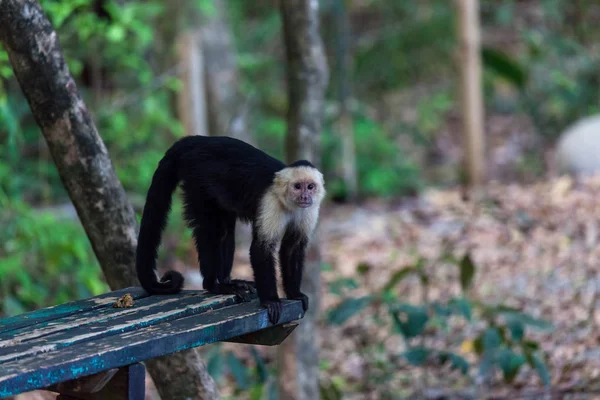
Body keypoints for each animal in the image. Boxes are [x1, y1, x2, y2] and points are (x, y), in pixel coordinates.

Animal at [135, 136, 326, 324]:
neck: (288, 203)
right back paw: (214, 285)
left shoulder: (310, 209)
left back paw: (229, 281)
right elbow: (261, 249)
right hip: (197, 177)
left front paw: (295, 293)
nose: (305, 196)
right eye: (297, 186)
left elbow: (293, 247)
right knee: (211, 230)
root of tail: (196, 141)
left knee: (226, 230)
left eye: (310, 186)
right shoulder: (270, 202)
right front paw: (271, 300)